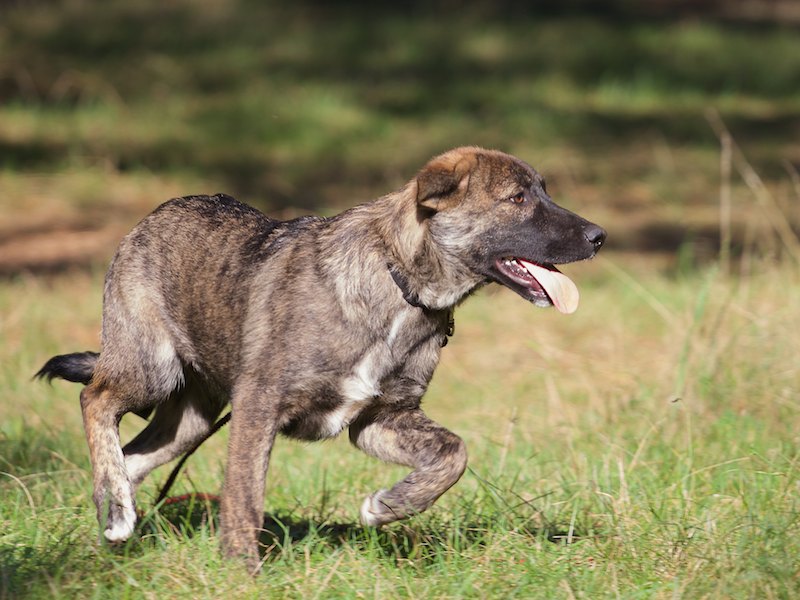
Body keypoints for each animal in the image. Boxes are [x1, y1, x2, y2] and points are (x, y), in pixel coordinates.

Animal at [37, 147, 606, 569]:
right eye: (517, 198)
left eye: (544, 191)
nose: (600, 237)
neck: (398, 283)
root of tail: (150, 219)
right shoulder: (258, 407)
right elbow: (244, 495)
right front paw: (241, 571)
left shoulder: (381, 418)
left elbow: (453, 454)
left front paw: (390, 506)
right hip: (150, 368)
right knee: (95, 401)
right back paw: (116, 509)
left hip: (192, 418)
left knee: (130, 458)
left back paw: (115, 516)